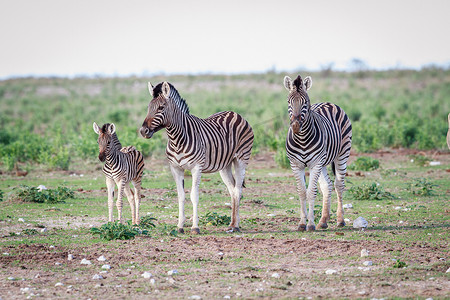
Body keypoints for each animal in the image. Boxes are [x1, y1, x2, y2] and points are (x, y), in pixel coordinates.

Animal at [140, 82, 253, 234]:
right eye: (148, 107)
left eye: (161, 107)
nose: (143, 131)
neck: (176, 139)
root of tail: (234, 113)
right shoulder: (175, 168)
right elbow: (181, 196)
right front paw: (180, 226)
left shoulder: (196, 167)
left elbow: (194, 196)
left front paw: (195, 227)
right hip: (225, 165)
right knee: (232, 190)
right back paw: (232, 224)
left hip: (241, 159)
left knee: (238, 190)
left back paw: (236, 225)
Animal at [284, 75, 352, 232]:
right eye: (289, 102)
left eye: (306, 103)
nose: (295, 126)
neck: (302, 139)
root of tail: (328, 103)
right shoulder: (296, 165)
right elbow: (302, 192)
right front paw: (302, 223)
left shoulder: (315, 164)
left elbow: (311, 192)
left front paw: (310, 224)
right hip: (323, 162)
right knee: (327, 185)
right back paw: (323, 221)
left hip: (342, 154)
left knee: (339, 185)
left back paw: (340, 220)